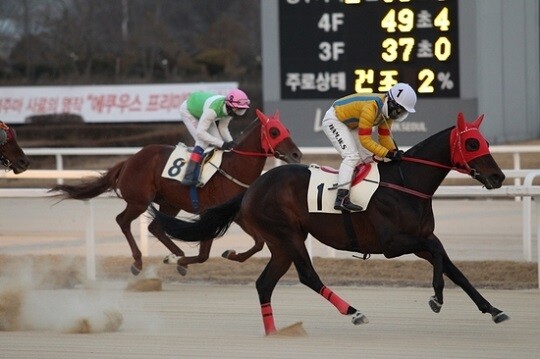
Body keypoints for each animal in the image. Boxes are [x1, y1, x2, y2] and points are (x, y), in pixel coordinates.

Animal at [48, 109, 302, 276]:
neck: (232, 169)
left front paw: (227, 254)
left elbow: (258, 244)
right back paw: (139, 262)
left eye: (287, 129)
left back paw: (177, 256)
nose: (297, 154)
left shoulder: (235, 214)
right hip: (139, 201)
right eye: (274, 131)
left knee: (155, 227)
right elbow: (204, 254)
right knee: (122, 221)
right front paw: (179, 260)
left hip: (170, 202)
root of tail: (129, 160)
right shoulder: (212, 213)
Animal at [151, 113, 510, 334]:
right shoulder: (394, 244)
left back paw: (273, 331)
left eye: (484, 142)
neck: (406, 182)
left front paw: (493, 309)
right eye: (473, 143)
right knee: (308, 276)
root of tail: (251, 189)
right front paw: (436, 298)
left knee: (264, 284)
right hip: (288, 236)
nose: (498, 177)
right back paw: (353, 311)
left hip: (281, 244)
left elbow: (454, 268)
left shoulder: (422, 238)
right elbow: (437, 258)